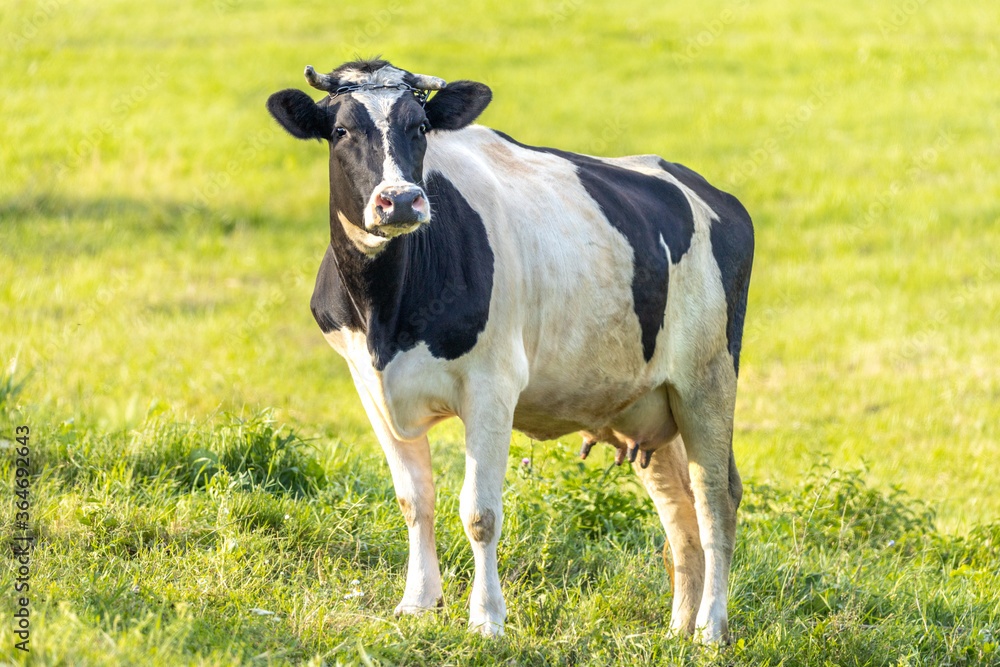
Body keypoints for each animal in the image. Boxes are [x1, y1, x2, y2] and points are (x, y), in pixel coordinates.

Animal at [266, 60, 752, 644]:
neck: (386, 310)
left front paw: (486, 619)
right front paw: (418, 603)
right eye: (340, 130)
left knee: (715, 498)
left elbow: (480, 513)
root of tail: (709, 191)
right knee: (679, 508)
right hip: (649, 399)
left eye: (420, 128)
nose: (401, 199)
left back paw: (710, 628)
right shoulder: (370, 386)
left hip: (707, 379)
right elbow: (414, 501)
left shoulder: (492, 385)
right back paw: (678, 627)